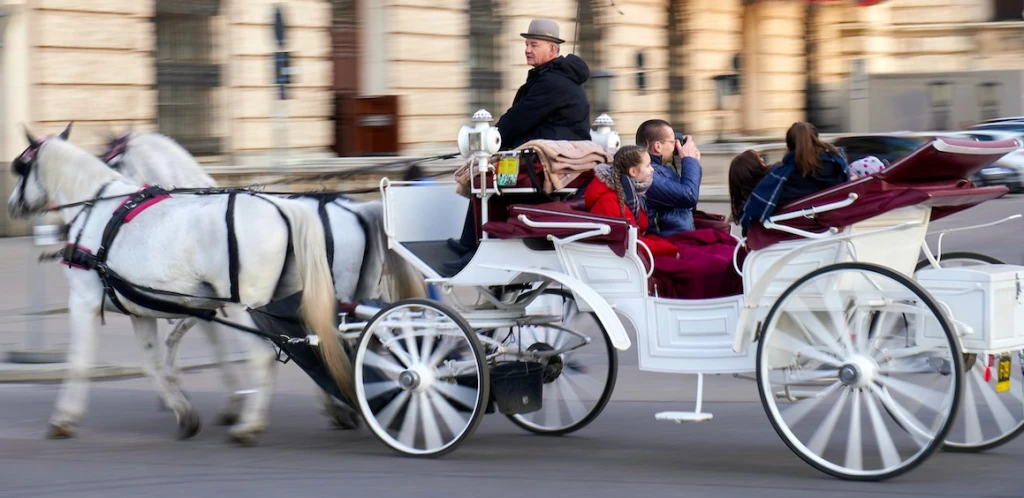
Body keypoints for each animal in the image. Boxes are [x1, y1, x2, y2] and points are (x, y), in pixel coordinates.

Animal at [8, 127, 356, 442]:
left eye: (22, 167)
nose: (11, 204)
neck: (97, 209)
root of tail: (285, 208)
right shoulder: (144, 310)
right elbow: (153, 362)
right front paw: (183, 410)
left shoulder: (83, 301)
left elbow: (80, 361)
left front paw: (64, 418)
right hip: (287, 301)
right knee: (313, 344)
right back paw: (335, 405)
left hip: (247, 308)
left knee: (264, 355)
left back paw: (250, 425)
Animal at [100, 129, 428, 428]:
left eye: (109, 162)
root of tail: (358, 209)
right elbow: (181, 336)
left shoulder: (209, 301)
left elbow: (195, 341)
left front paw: (218, 401)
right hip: (355, 291)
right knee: (356, 340)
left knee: (337, 339)